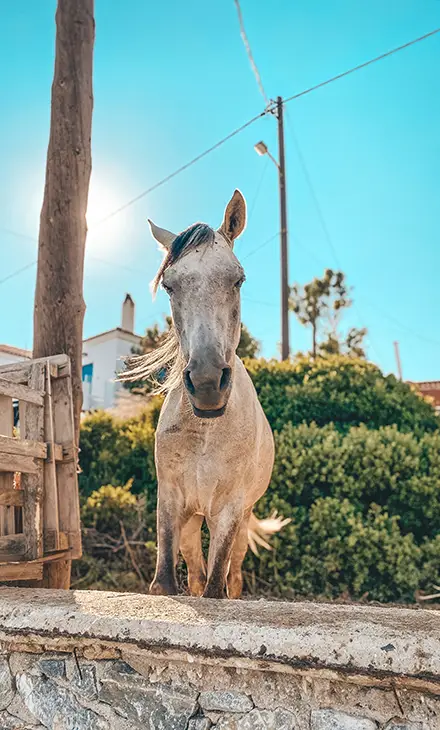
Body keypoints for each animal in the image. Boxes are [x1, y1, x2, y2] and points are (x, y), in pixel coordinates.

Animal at [122, 190, 289, 598]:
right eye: (169, 285)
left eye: (238, 280)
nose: (208, 382)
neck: (205, 435)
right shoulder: (171, 504)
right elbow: (168, 583)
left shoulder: (228, 512)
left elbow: (217, 587)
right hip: (193, 521)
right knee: (196, 575)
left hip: (239, 522)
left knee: (234, 577)